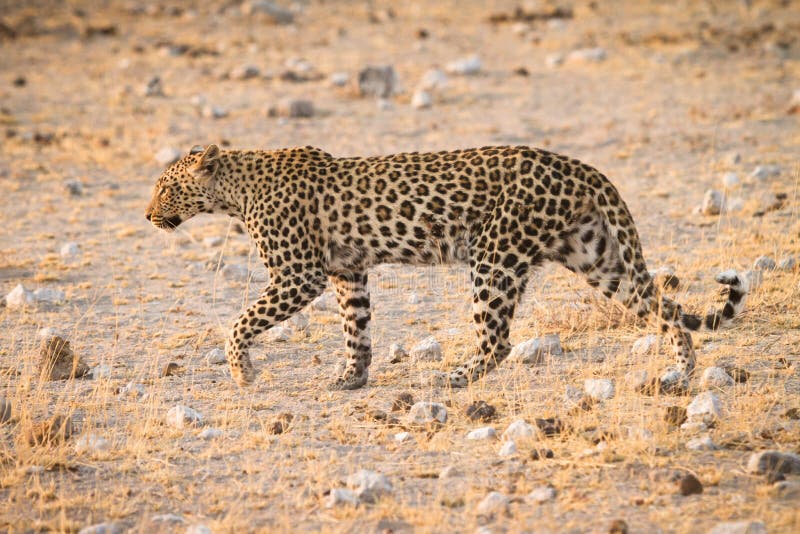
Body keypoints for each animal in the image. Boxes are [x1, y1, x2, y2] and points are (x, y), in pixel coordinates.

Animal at [146, 144, 748, 391]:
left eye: (165, 188)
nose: (148, 215)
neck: (233, 190)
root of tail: (580, 167)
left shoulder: (300, 275)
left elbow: (239, 322)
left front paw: (242, 372)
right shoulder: (347, 272)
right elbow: (356, 329)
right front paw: (351, 378)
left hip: (495, 258)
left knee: (498, 340)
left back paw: (455, 378)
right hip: (596, 256)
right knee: (662, 305)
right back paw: (682, 369)